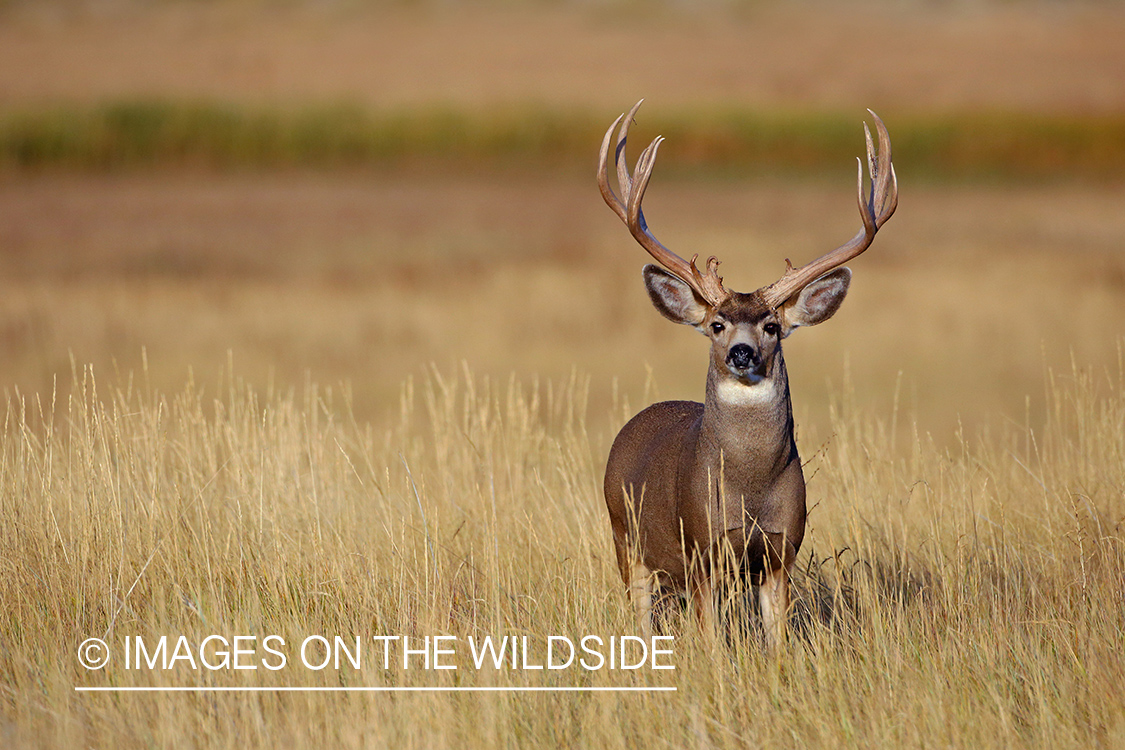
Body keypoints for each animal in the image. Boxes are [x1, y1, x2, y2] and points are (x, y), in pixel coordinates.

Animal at [598, 101, 895, 652]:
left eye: (771, 325)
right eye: (717, 324)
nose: (741, 352)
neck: (749, 491)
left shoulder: (782, 550)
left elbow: (778, 642)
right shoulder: (700, 547)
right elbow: (711, 640)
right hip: (624, 537)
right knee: (639, 616)